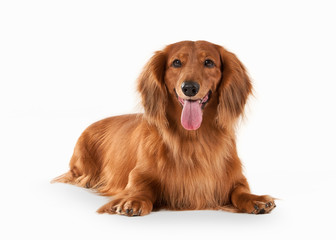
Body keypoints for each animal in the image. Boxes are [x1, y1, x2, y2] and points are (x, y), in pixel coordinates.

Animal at [51, 40, 274, 216]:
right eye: (176, 62)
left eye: (209, 62)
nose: (189, 87)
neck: (194, 137)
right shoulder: (139, 174)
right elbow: (141, 188)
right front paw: (134, 200)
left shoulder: (234, 178)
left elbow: (240, 190)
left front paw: (256, 199)